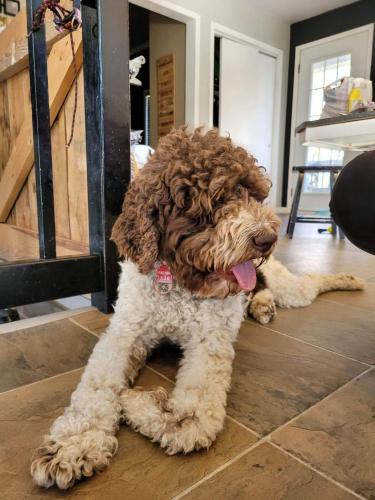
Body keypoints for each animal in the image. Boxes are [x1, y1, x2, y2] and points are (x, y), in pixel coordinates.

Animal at [30, 128, 366, 488]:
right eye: (216, 200)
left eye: (254, 195)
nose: (267, 239)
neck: (180, 284)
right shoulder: (125, 333)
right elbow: (96, 387)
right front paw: (73, 446)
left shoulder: (209, 343)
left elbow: (189, 424)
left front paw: (133, 401)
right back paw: (262, 305)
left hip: (290, 288)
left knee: (312, 281)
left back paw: (349, 279)